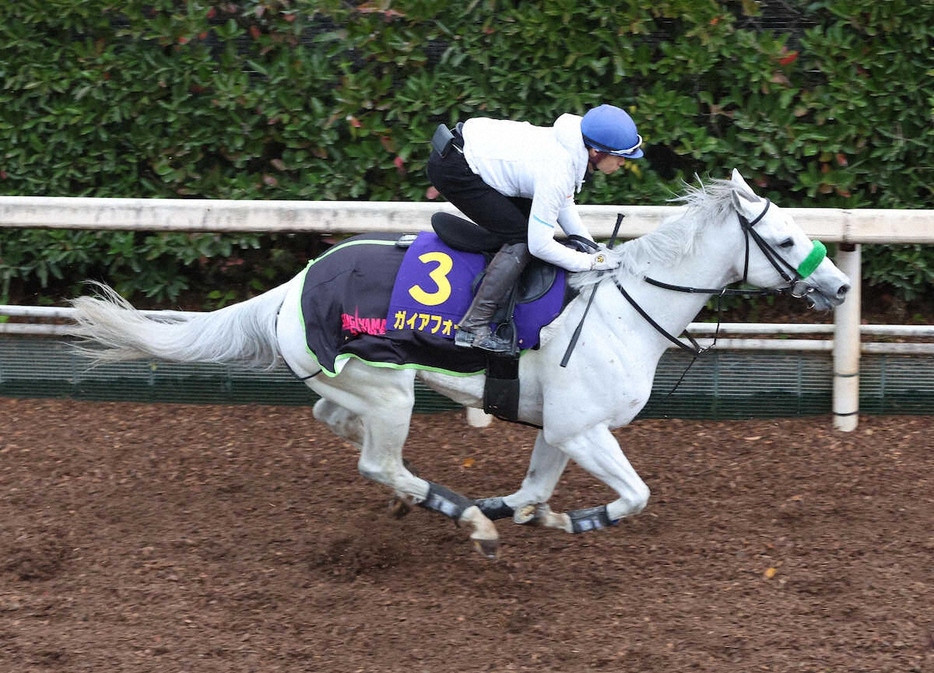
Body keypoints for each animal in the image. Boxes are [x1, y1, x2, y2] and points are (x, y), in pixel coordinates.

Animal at [69, 171, 852, 560]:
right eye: (787, 238)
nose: (841, 287)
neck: (622, 308)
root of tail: (290, 289)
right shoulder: (581, 428)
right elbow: (634, 495)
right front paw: (565, 519)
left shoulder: (559, 429)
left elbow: (534, 488)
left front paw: (532, 511)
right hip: (390, 393)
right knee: (378, 460)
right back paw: (461, 515)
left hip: (355, 383)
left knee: (337, 422)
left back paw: (433, 501)